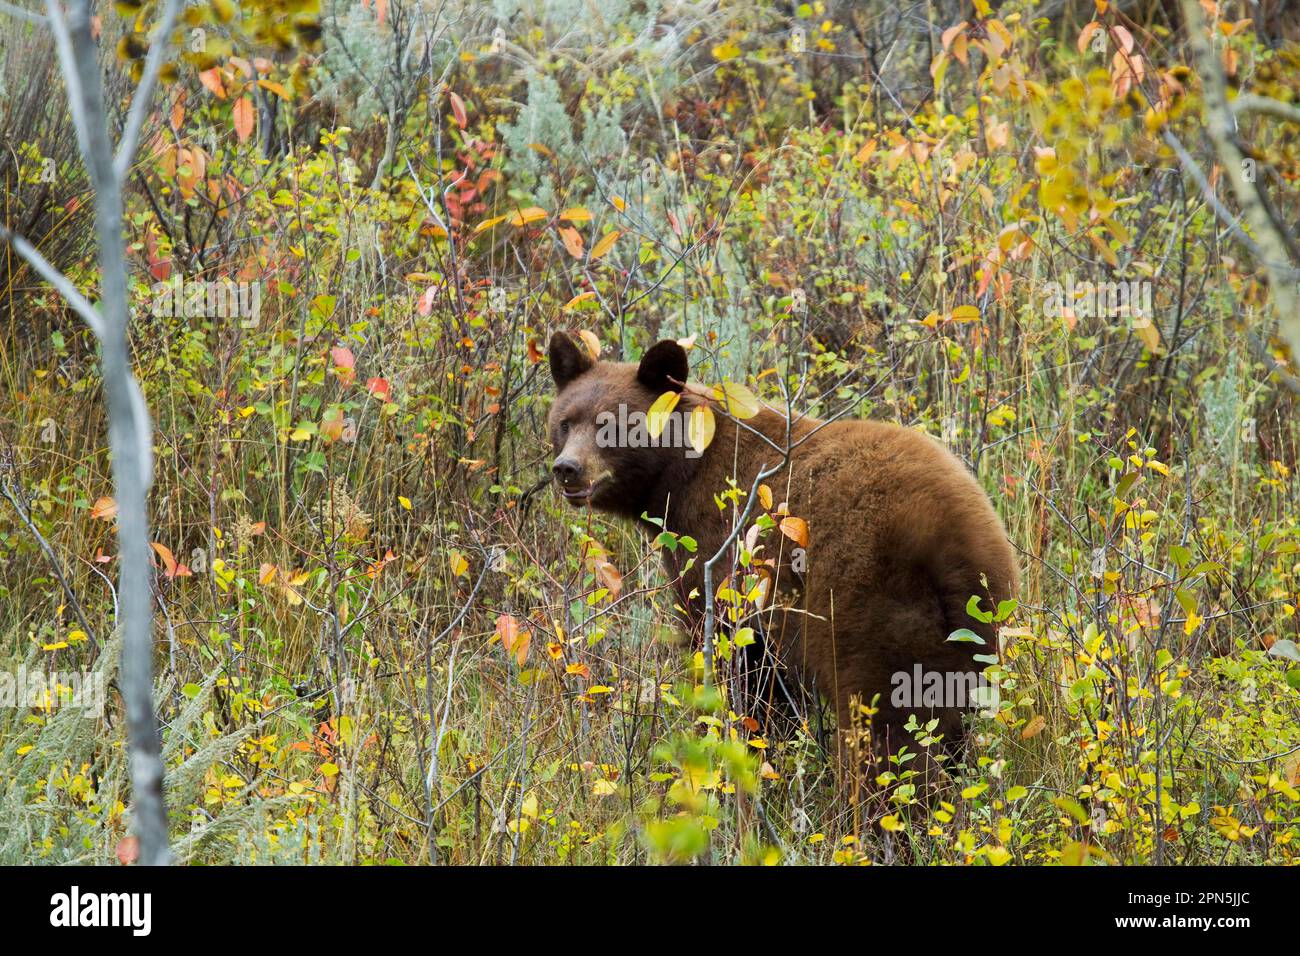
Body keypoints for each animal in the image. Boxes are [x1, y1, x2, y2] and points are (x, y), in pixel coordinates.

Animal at [546, 332, 1019, 788]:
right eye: (565, 422)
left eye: (612, 424)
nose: (567, 468)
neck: (680, 475)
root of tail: (955, 539)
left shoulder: (723, 555)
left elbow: (741, 667)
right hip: (979, 628)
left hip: (870, 607)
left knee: (887, 727)